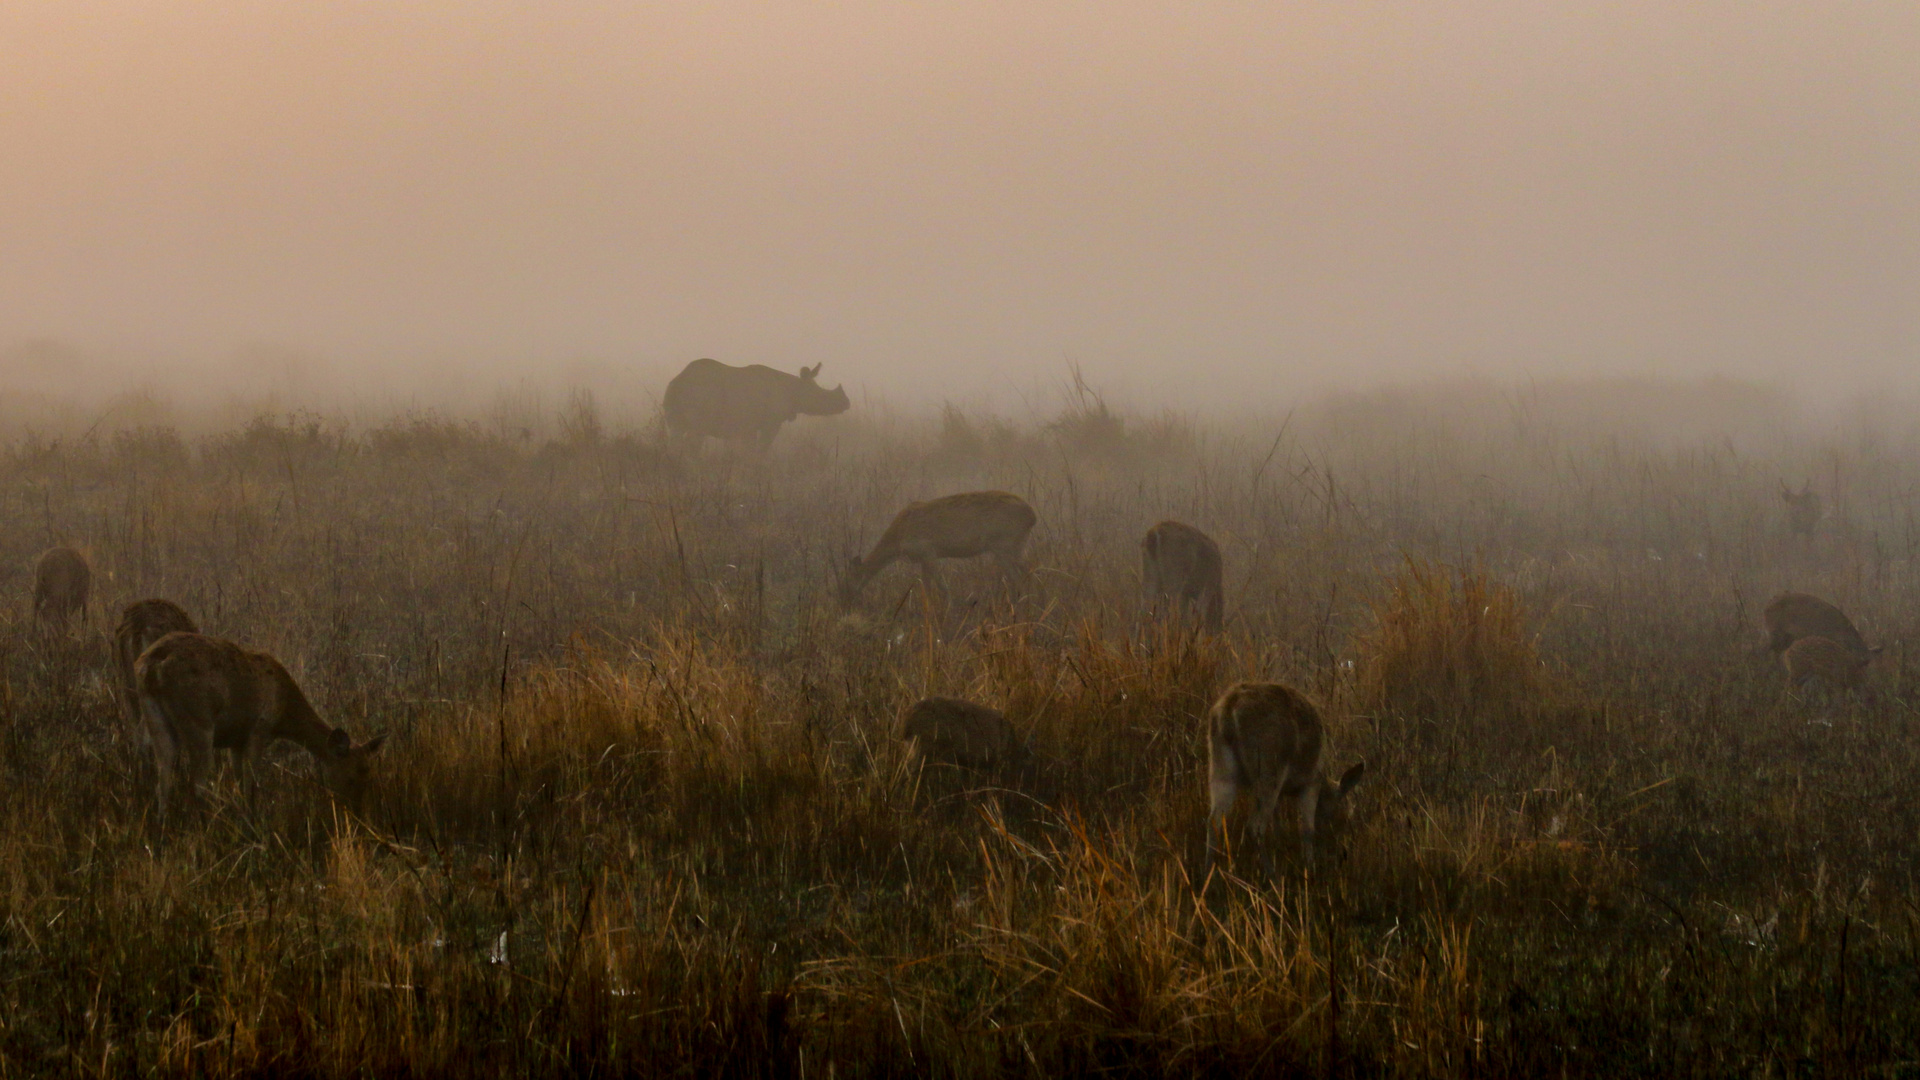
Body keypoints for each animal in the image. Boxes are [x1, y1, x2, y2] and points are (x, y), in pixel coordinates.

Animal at [136, 626, 385, 818]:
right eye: (352, 777)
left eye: (370, 775)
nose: (357, 812)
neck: (284, 715)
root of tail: (151, 666)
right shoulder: (258, 729)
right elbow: (251, 786)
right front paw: (254, 824)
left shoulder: (235, 741)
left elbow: (239, 784)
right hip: (199, 720)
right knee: (198, 784)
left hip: (154, 717)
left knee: (163, 778)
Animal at [840, 490, 1036, 607]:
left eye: (850, 577)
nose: (845, 598)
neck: (898, 541)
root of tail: (1032, 516)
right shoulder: (923, 558)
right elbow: (926, 587)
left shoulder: (928, 552)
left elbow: (942, 586)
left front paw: (949, 609)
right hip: (1016, 545)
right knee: (1026, 570)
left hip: (1004, 545)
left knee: (1020, 573)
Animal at [1198, 676, 1367, 868]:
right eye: (1338, 815)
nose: (1341, 854)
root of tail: (1229, 708)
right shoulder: (1311, 782)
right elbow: (1306, 829)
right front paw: (1309, 864)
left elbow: (1278, 825)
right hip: (1269, 768)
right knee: (1255, 826)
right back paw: (1271, 873)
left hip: (1220, 768)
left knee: (1214, 820)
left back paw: (1209, 872)